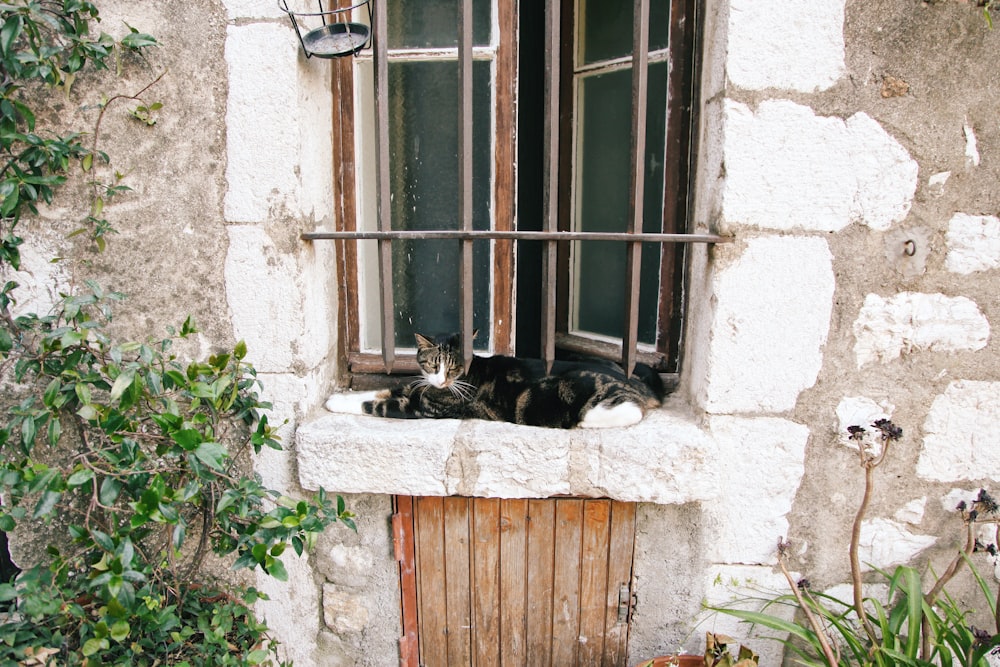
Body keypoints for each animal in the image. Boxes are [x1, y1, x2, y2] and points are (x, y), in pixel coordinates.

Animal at [328, 332, 668, 430]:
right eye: (434, 364)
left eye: (454, 368)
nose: (441, 381)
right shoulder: (415, 387)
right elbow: (381, 388)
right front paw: (334, 398)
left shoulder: (422, 407)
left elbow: (373, 404)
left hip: (575, 390)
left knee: (629, 409)